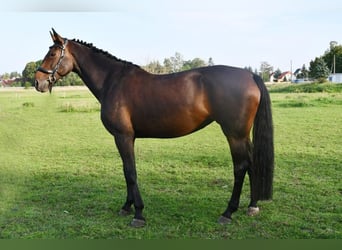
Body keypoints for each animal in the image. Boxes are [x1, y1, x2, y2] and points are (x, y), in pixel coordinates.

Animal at [34, 28, 274, 228]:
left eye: (53, 54)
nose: (38, 82)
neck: (113, 81)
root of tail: (250, 75)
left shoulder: (123, 136)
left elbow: (131, 172)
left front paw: (138, 214)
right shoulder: (126, 138)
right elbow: (126, 171)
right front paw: (126, 207)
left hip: (234, 135)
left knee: (240, 167)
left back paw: (228, 212)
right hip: (243, 135)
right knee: (251, 164)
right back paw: (252, 206)